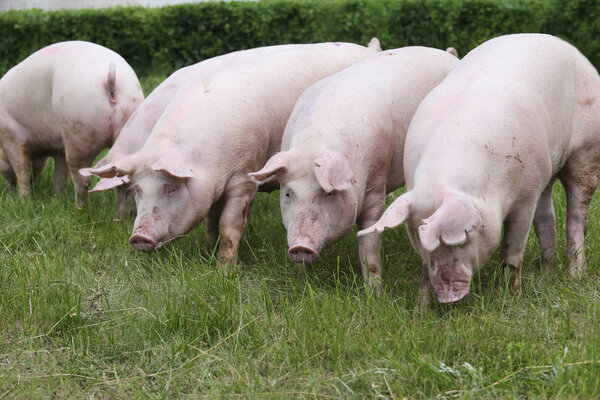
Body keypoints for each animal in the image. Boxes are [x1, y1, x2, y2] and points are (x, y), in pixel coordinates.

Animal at [0, 41, 144, 203]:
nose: (8, 192)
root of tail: (110, 81)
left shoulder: (11, 136)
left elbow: (22, 170)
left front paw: (23, 200)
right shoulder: (59, 148)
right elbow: (59, 176)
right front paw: (58, 199)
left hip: (79, 130)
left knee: (82, 178)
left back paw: (79, 206)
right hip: (131, 120)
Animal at [248, 46, 460, 288]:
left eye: (328, 193)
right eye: (288, 193)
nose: (300, 247)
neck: (315, 142)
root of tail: (448, 54)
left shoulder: (376, 180)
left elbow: (369, 243)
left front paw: (375, 291)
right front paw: (301, 282)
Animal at [358, 34, 600, 308]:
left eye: (465, 235)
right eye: (417, 238)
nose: (448, 295)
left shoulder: (525, 196)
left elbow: (512, 251)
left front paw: (511, 298)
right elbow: (424, 270)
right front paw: (421, 310)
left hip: (587, 152)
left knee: (576, 218)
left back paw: (574, 276)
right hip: (547, 168)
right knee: (547, 217)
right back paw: (547, 272)